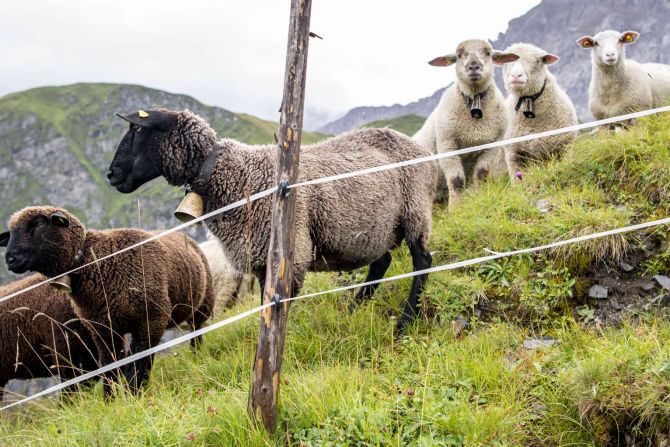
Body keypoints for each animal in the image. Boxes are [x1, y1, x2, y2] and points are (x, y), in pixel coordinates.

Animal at [1, 207, 215, 394]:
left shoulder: (151, 318)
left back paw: (197, 357)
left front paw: (134, 394)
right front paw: (111, 400)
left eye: (36, 224)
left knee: (196, 331)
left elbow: (138, 362)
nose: (10, 259)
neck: (97, 262)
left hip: (201, 305)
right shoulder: (102, 330)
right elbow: (109, 368)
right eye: (10, 234)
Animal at [107, 109, 436, 333]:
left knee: (423, 261)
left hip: (414, 212)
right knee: (381, 263)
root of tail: (421, 149)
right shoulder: (259, 258)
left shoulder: (290, 253)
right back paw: (353, 310)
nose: (111, 174)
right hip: (377, 228)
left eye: (136, 129)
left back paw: (405, 322)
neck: (235, 175)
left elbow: (278, 305)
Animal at [413, 39, 519, 208]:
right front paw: (455, 209)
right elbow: (456, 180)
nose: (473, 66)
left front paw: (480, 198)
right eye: (458, 55)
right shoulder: (447, 144)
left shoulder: (492, 145)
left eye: (488, 53)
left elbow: (481, 174)